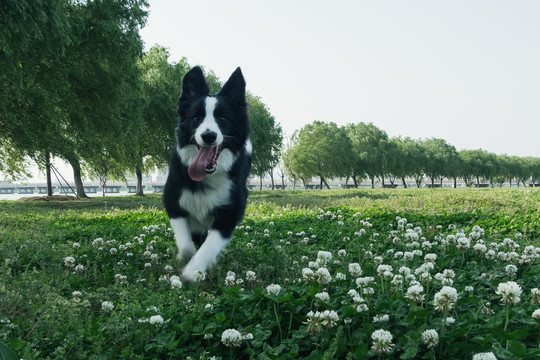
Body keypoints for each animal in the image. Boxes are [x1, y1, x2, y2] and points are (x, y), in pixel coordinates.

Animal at [162, 66, 251, 282]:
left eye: (222, 118)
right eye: (196, 117)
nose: (208, 136)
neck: (207, 176)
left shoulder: (232, 210)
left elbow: (209, 246)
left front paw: (192, 272)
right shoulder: (173, 201)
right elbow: (186, 246)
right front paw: (186, 259)